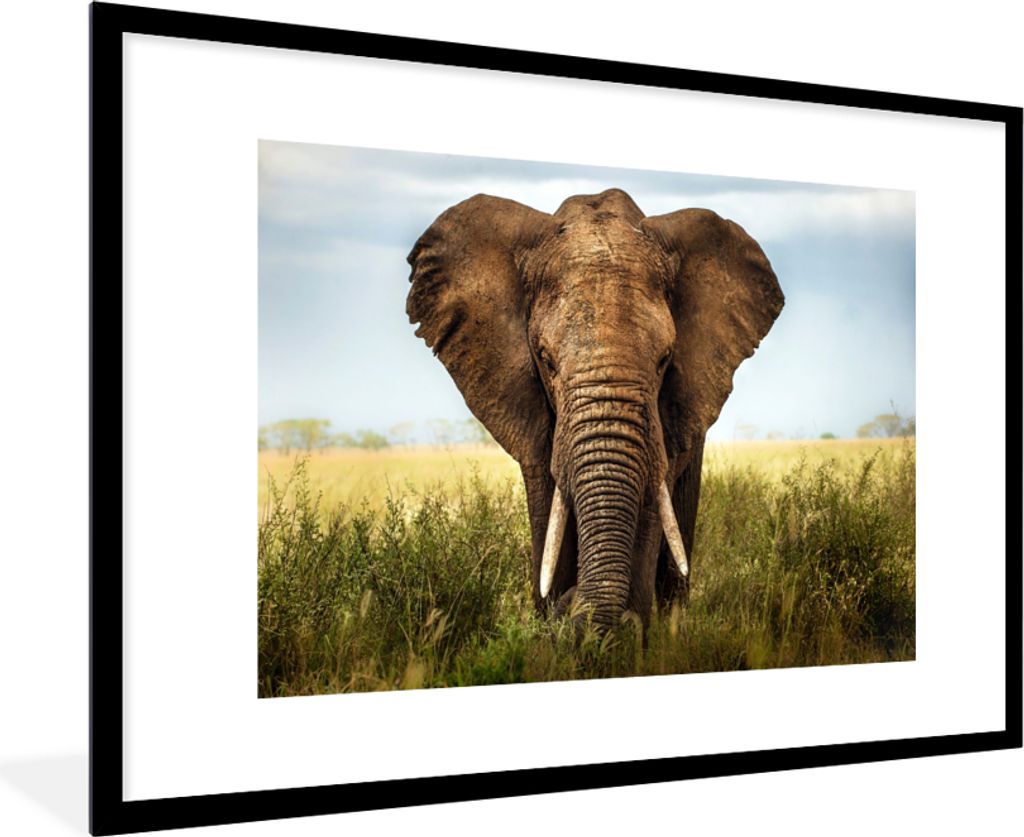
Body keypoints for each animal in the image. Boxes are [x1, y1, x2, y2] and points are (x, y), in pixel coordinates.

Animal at [406, 188, 783, 631]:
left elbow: (651, 506)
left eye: (664, 360)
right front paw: (555, 620)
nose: (572, 605)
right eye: (546, 360)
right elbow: (548, 504)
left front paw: (620, 633)